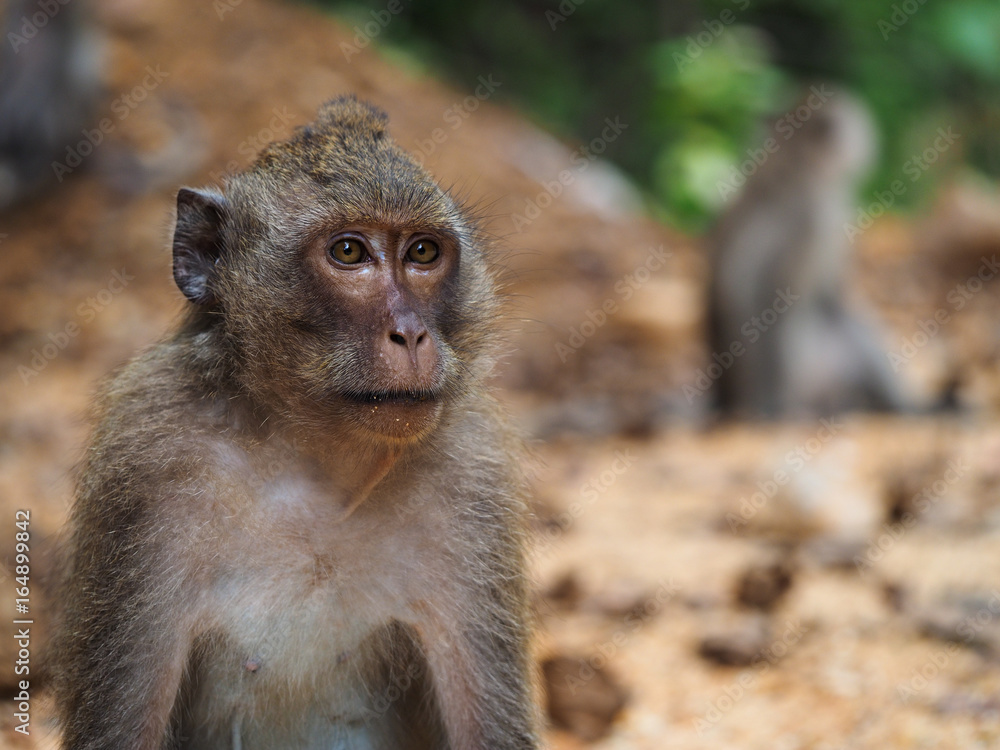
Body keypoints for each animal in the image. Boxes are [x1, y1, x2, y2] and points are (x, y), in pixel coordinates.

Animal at [52, 96, 538, 749]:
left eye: (422, 253)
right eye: (350, 253)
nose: (411, 334)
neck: (317, 458)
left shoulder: (473, 470)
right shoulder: (146, 451)